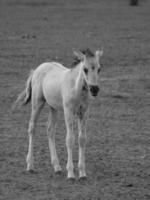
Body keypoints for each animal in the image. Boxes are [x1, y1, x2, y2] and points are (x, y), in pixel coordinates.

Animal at [14, 48, 103, 180]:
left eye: (99, 69)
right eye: (85, 69)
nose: (95, 89)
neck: (76, 88)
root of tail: (37, 69)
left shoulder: (84, 112)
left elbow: (82, 139)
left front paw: (82, 173)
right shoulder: (68, 111)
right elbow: (70, 139)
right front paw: (71, 174)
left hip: (53, 107)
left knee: (50, 130)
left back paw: (57, 167)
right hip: (37, 103)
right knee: (32, 128)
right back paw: (30, 165)